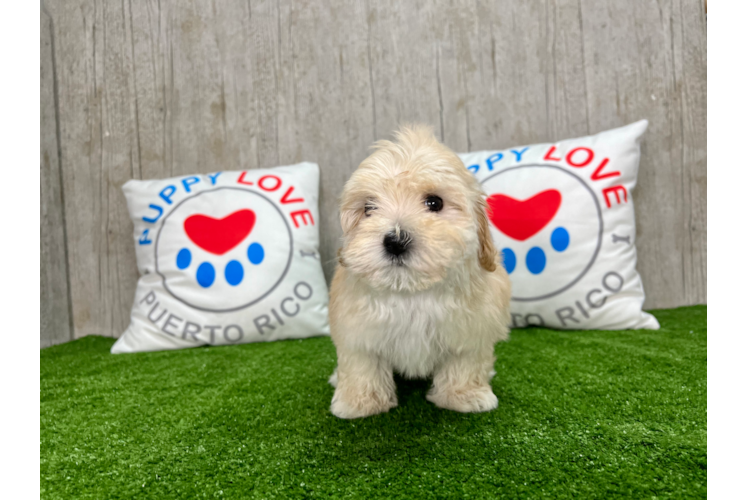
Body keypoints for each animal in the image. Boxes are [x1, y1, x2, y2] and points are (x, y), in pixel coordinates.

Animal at [330, 125, 512, 418]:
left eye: (434, 203)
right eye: (369, 208)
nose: (395, 241)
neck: (411, 291)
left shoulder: (471, 331)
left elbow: (466, 362)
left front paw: (462, 396)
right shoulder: (358, 333)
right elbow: (362, 365)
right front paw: (360, 402)